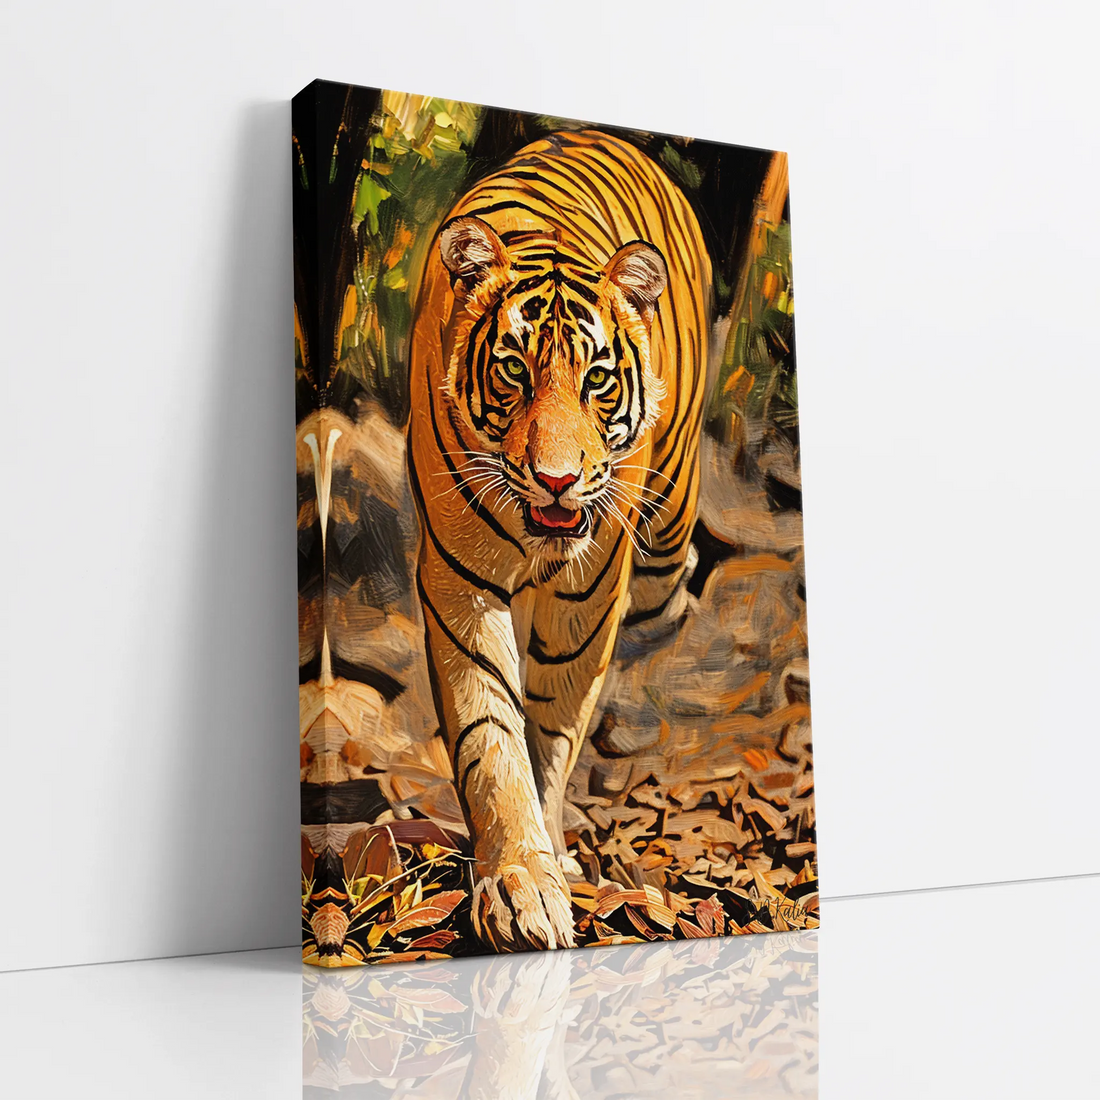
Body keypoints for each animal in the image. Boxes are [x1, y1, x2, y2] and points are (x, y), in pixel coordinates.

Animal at [407, 129, 712, 951]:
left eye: (597, 380)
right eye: (513, 371)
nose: (555, 479)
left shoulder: (589, 589)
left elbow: (550, 726)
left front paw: (548, 851)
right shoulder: (459, 582)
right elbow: (491, 732)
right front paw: (519, 881)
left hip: (669, 522)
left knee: (671, 598)